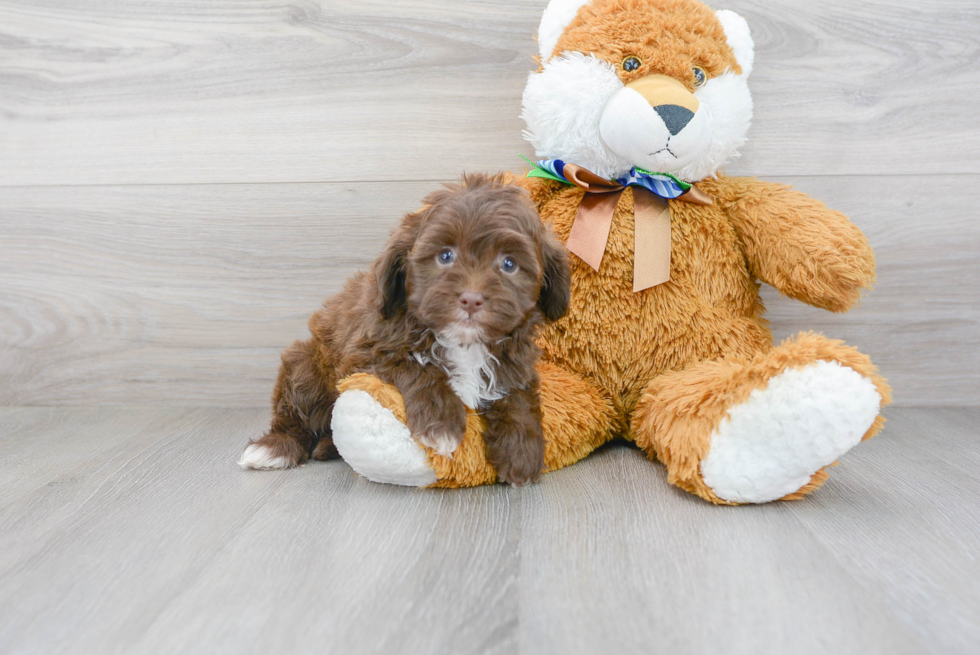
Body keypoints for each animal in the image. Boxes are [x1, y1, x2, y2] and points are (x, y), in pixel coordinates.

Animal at [238, 174, 572, 486]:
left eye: (509, 264)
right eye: (445, 255)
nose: (471, 299)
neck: (464, 343)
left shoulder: (516, 360)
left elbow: (517, 393)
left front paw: (521, 451)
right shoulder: (365, 353)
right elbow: (416, 366)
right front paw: (442, 427)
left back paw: (327, 447)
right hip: (306, 364)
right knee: (297, 411)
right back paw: (275, 448)